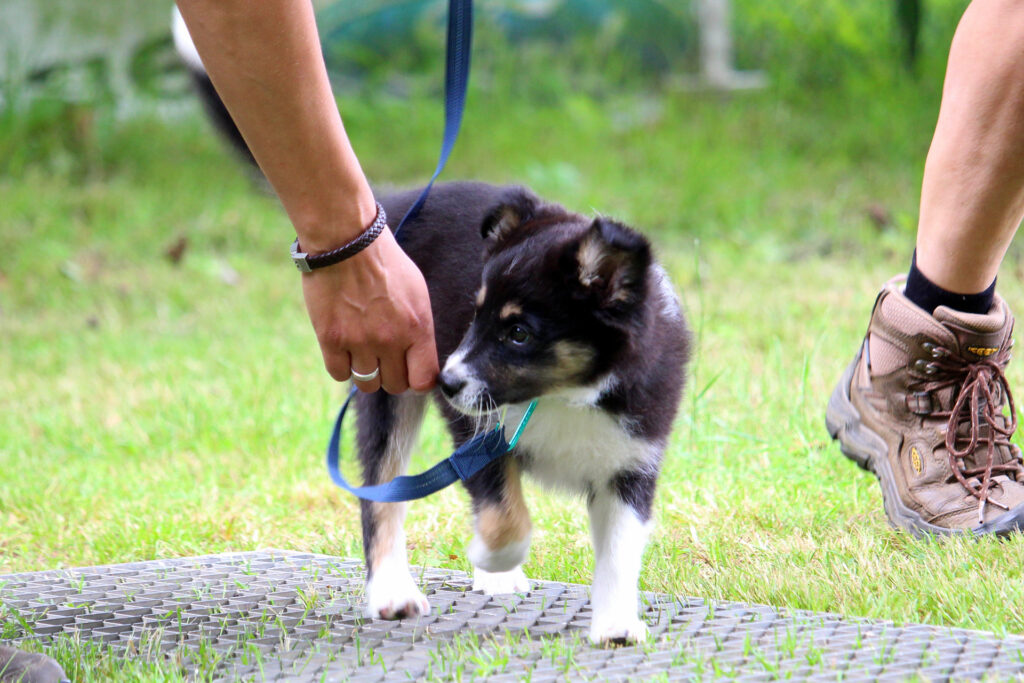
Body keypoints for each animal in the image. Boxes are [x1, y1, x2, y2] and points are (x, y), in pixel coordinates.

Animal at [356, 181, 692, 647]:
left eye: (518, 334)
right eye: (475, 314)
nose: (445, 382)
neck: (566, 395)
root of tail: (399, 197)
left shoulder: (630, 461)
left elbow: (620, 549)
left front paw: (616, 625)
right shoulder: (480, 434)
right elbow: (505, 516)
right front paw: (487, 556)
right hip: (387, 378)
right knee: (381, 493)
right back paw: (394, 592)